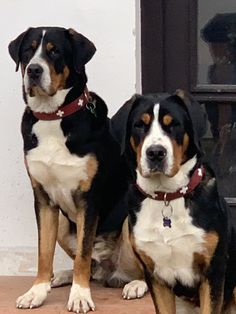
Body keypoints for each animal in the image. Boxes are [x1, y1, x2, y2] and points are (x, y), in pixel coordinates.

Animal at [8, 27, 146, 314]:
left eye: (55, 51)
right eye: (28, 51)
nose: (34, 70)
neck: (54, 116)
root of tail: (110, 270)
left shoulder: (88, 199)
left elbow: (82, 255)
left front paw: (80, 296)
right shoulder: (43, 199)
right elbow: (44, 252)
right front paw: (37, 291)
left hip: (130, 220)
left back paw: (135, 284)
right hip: (63, 222)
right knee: (91, 267)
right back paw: (61, 276)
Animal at [110, 90, 236, 312]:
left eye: (174, 124)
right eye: (139, 125)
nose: (155, 153)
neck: (167, 196)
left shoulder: (212, 272)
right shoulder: (157, 277)